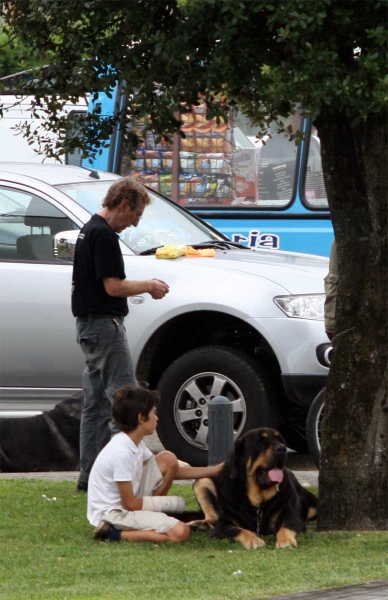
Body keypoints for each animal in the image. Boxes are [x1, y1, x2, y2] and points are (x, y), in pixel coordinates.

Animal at [180, 426, 316, 548]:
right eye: (261, 442)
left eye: (281, 440)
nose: (282, 448)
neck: (258, 502)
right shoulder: (223, 526)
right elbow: (239, 530)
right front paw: (253, 539)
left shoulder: (293, 518)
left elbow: (286, 528)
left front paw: (285, 540)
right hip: (202, 481)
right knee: (212, 519)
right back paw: (198, 524)